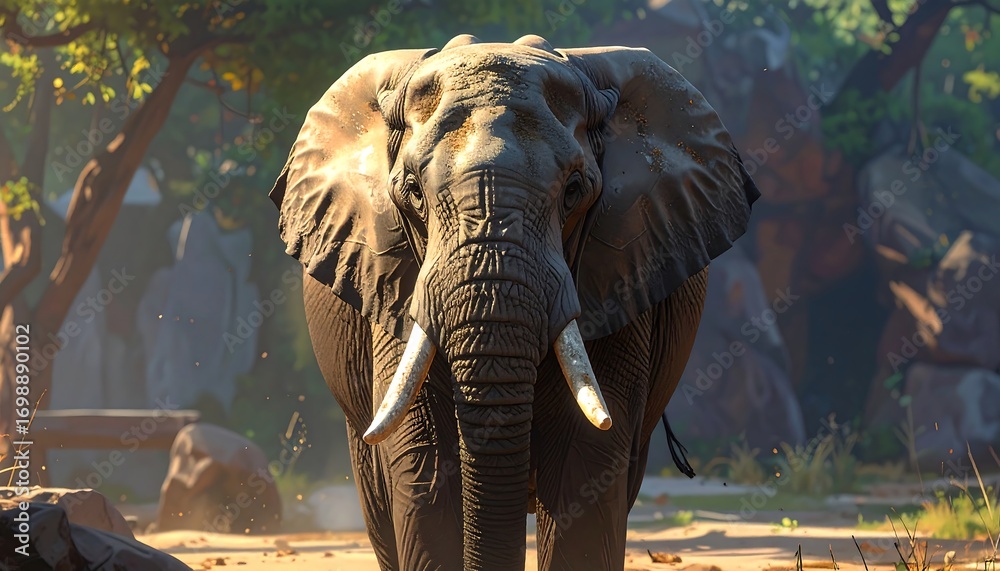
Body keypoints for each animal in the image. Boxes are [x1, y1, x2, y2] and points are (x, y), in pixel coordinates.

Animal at [269, 34, 759, 571]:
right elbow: (424, 458)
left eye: (574, 191)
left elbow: (586, 460)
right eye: (413, 193)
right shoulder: (392, 277)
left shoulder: (620, 267)